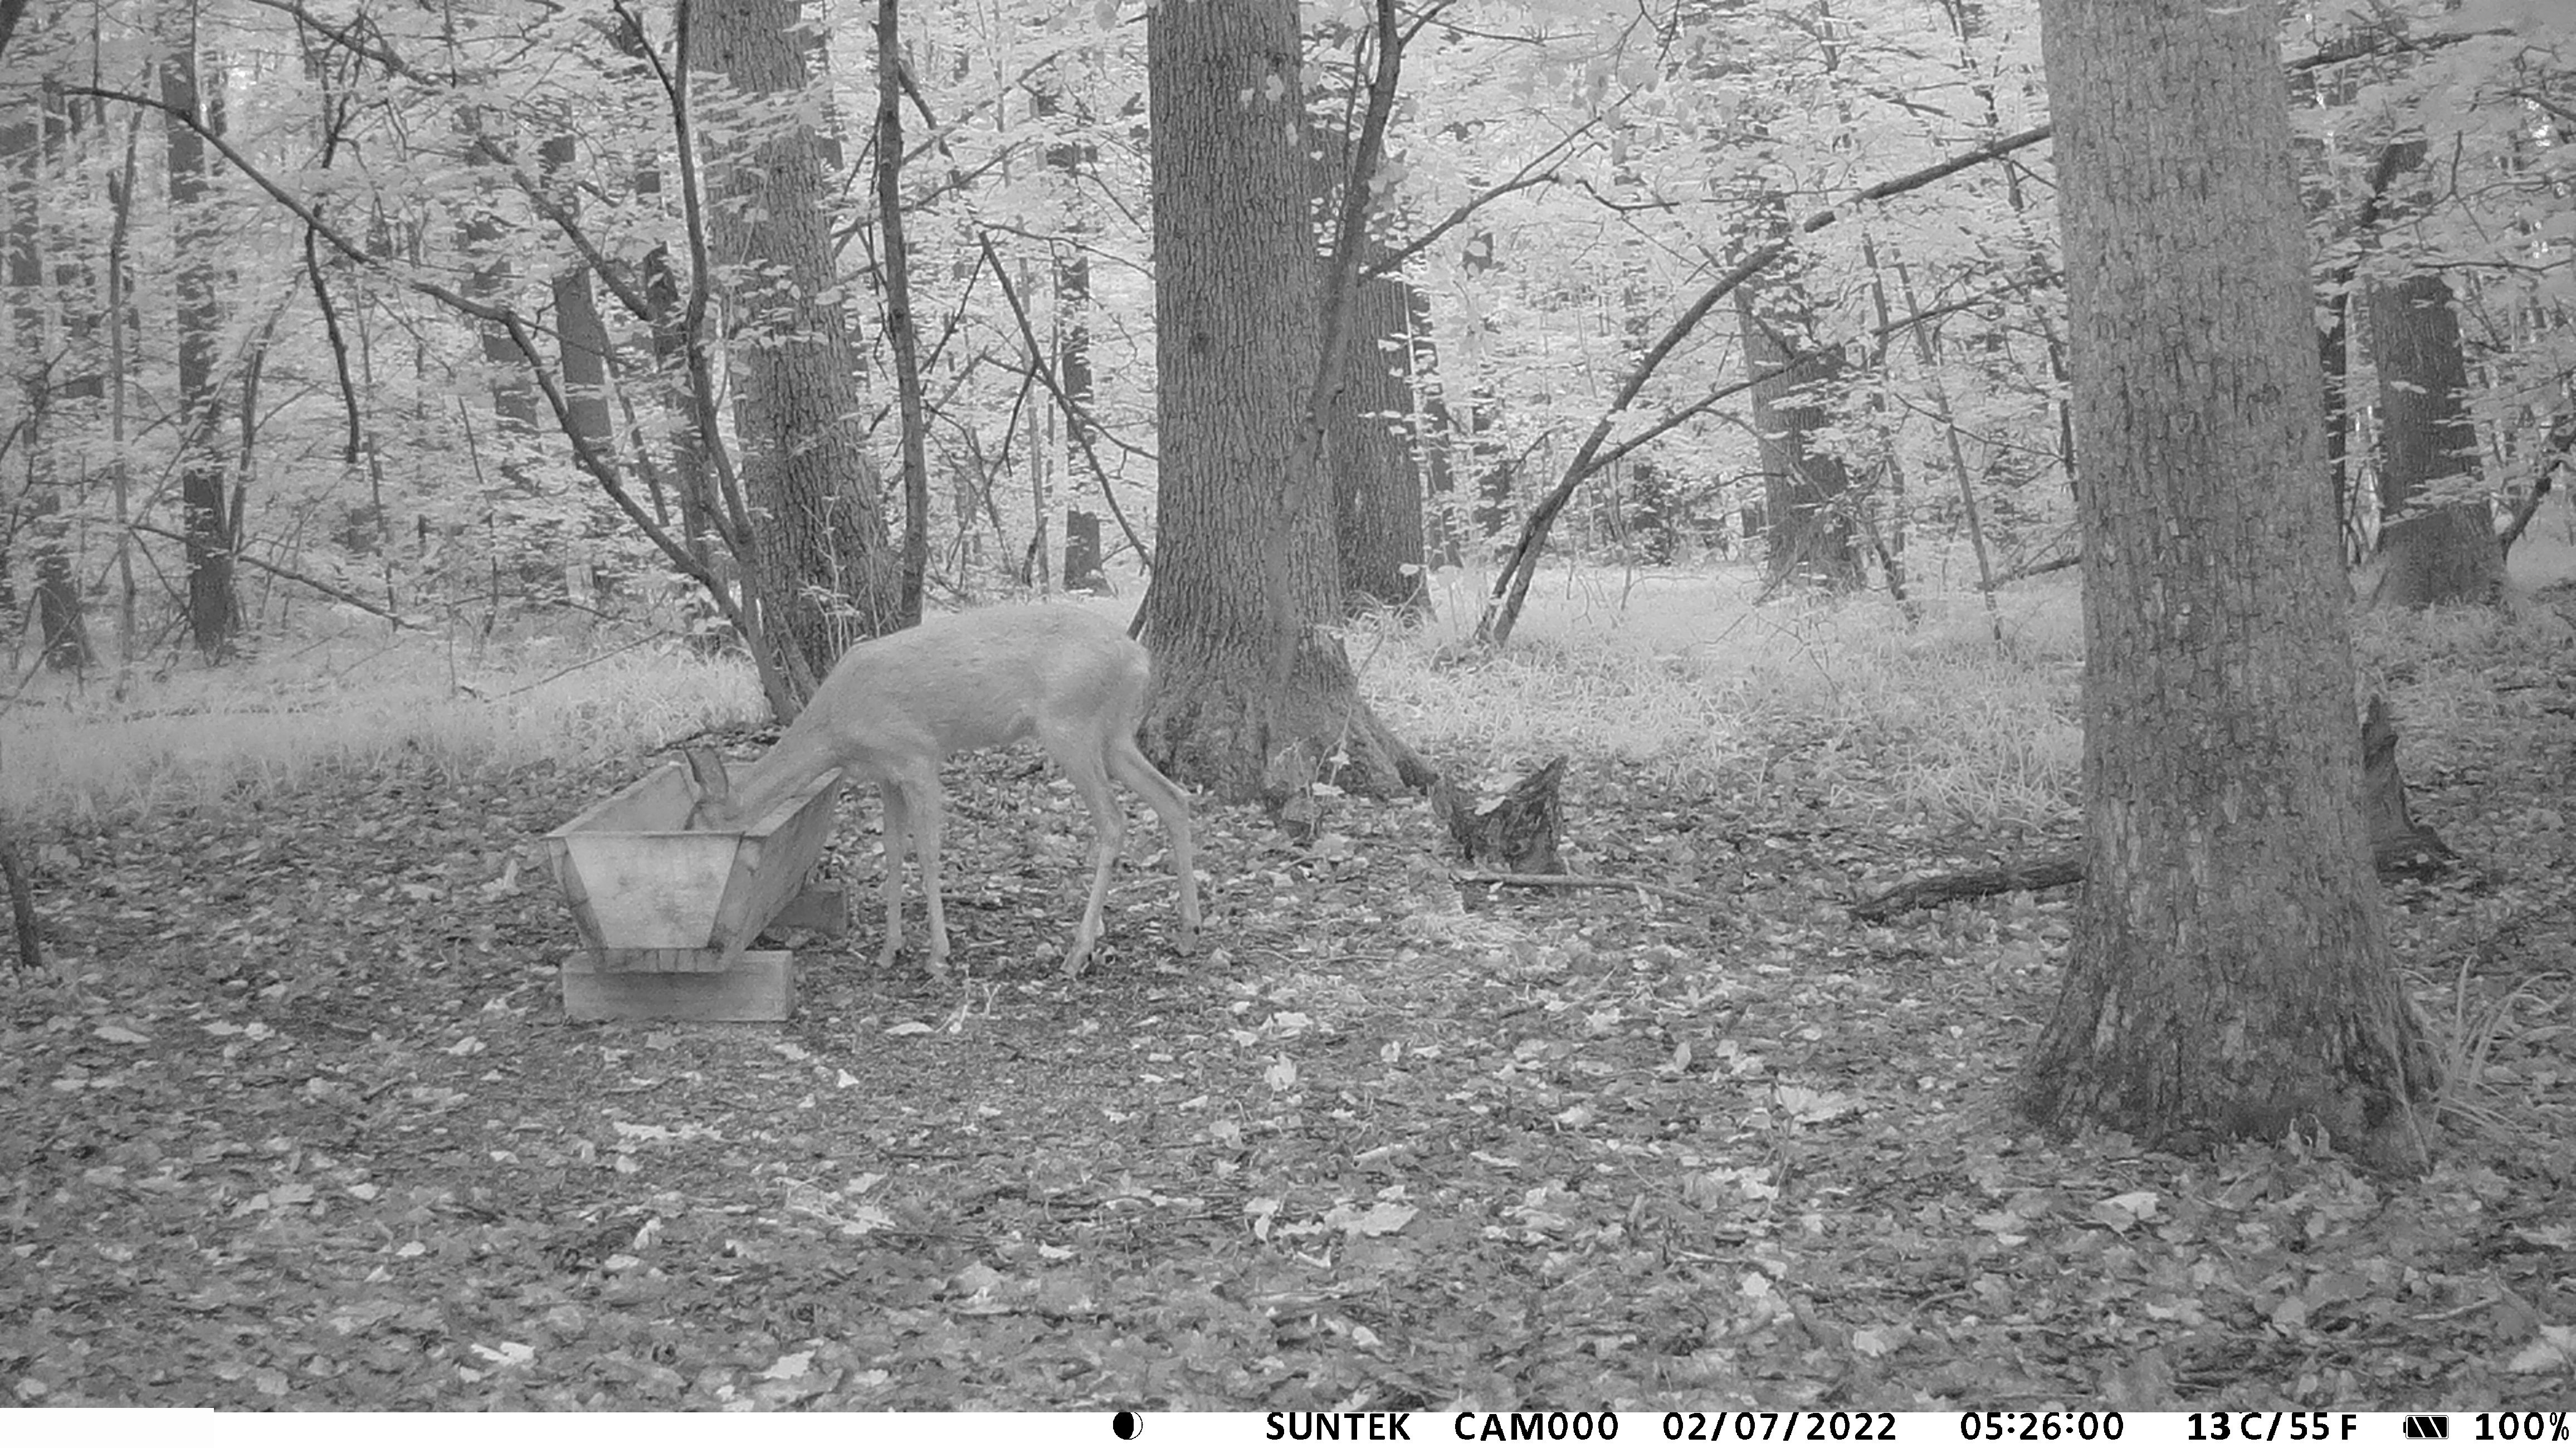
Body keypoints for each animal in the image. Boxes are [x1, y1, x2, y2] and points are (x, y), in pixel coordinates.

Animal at [681, 604, 1199, 979]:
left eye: (696, 824)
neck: (836, 729)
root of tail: (1139, 658)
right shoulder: (886, 774)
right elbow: (892, 851)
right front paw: (890, 949)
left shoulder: (918, 756)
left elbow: (928, 851)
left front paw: (938, 955)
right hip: (1113, 734)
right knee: (1173, 798)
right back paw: (1188, 929)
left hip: (1070, 724)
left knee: (1114, 820)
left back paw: (1078, 953)